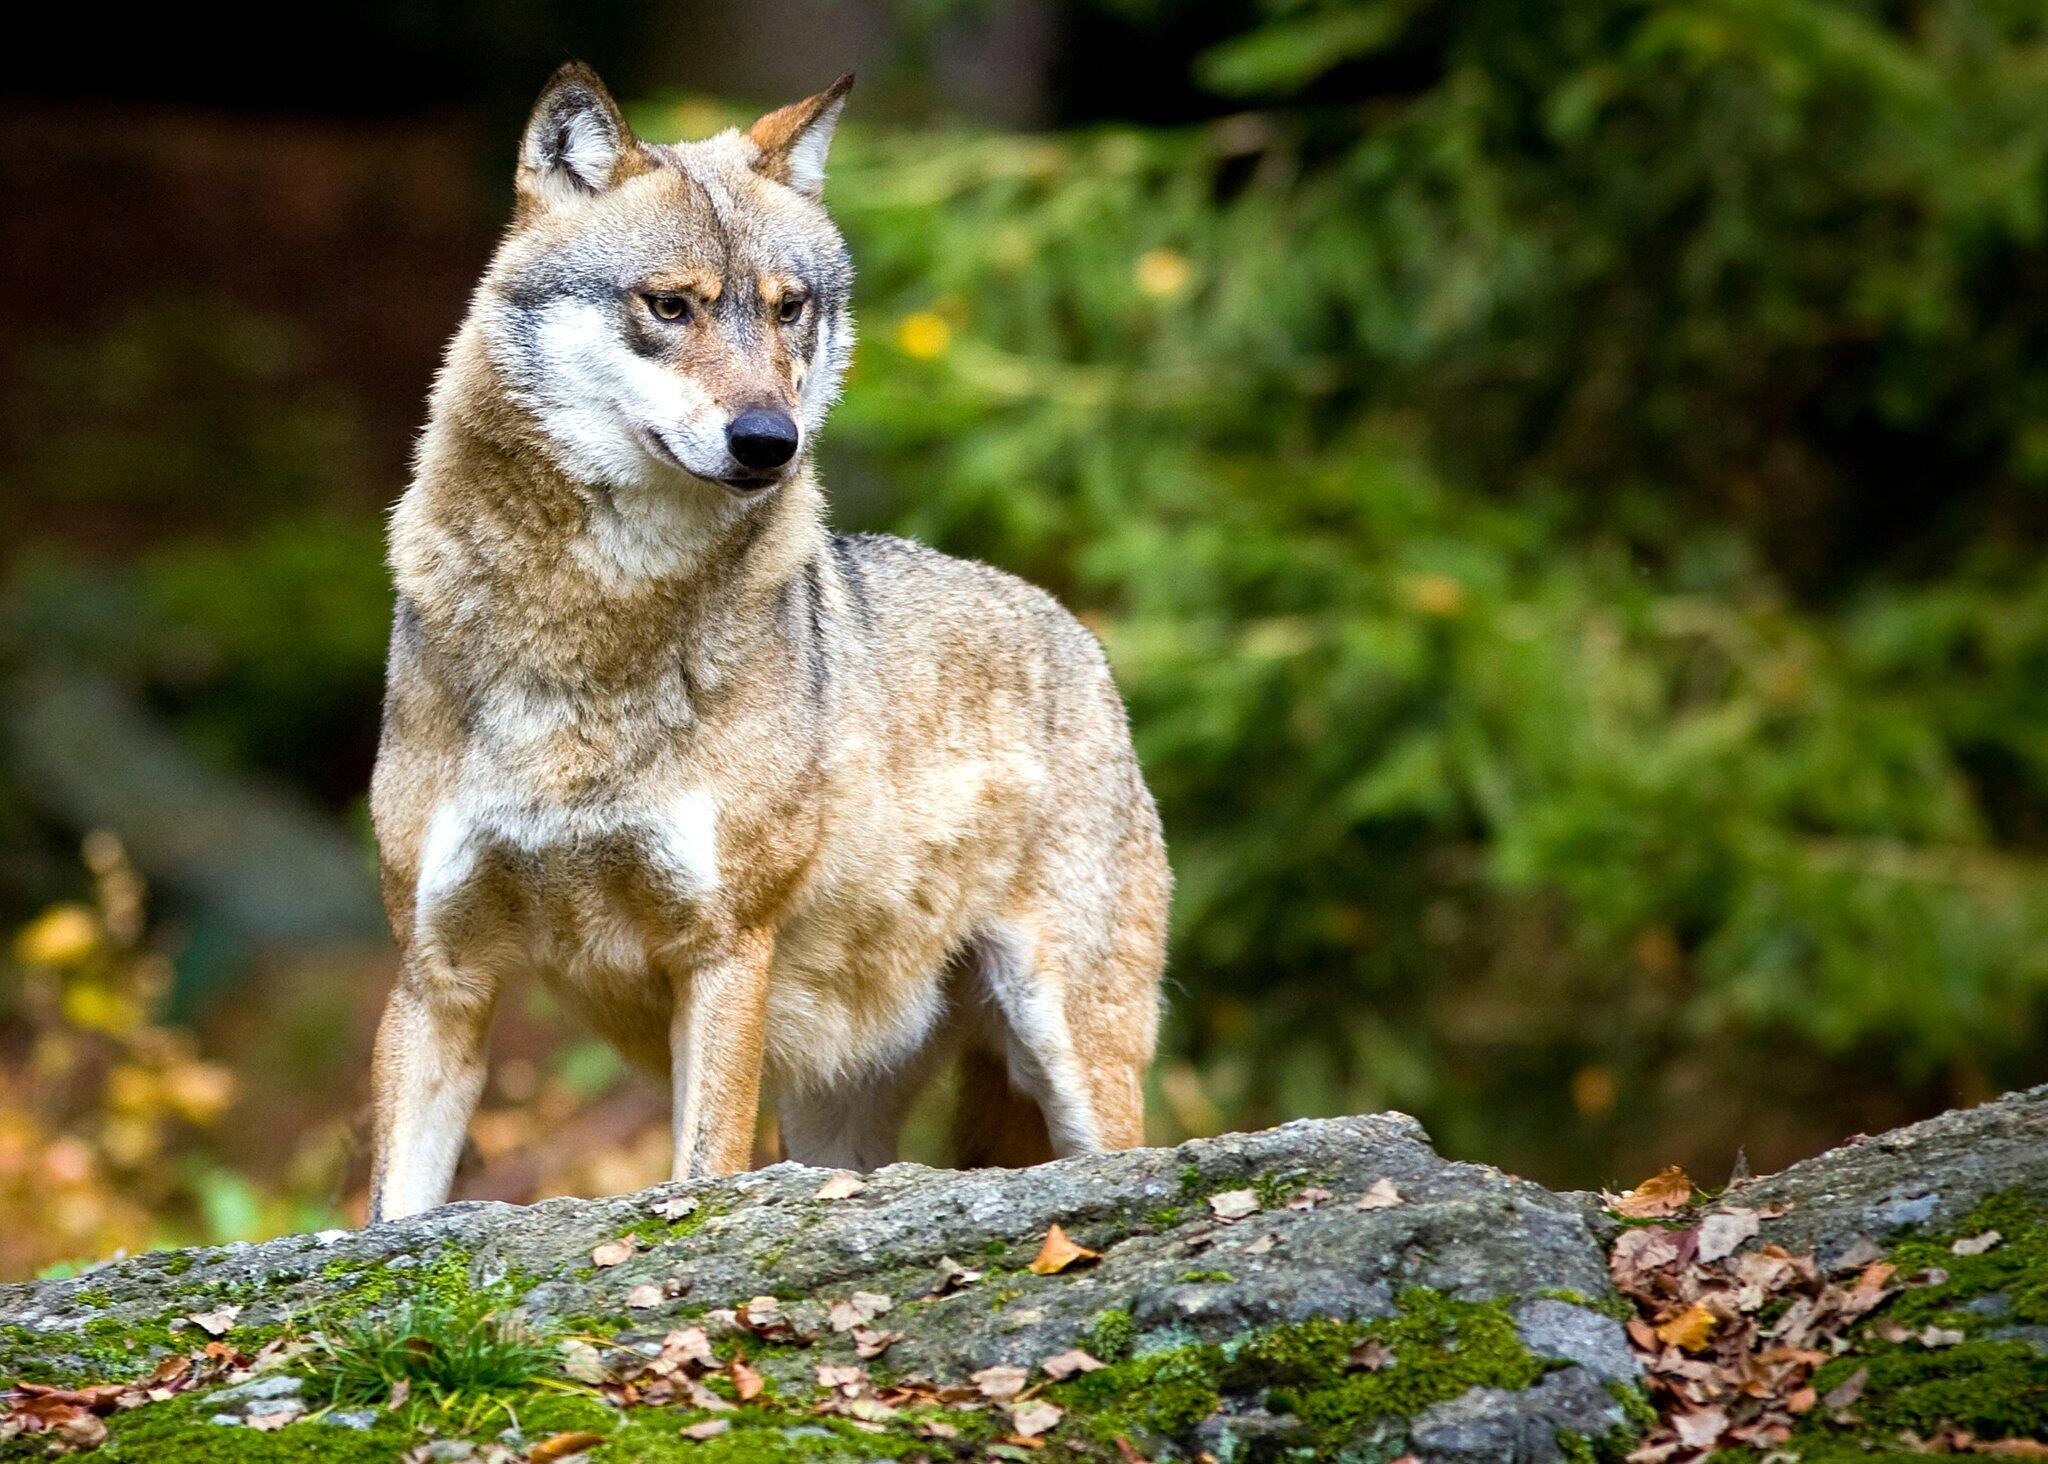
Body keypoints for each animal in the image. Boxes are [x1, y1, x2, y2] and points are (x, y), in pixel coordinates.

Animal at [368, 62, 1171, 1220]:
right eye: (670, 305)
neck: (589, 625)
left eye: (790, 310)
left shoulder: (723, 950)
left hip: (1070, 1054)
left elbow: (702, 1171)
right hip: (837, 1116)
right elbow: (390, 1210)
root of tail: (1076, 631)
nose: (768, 441)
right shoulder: (439, 975)